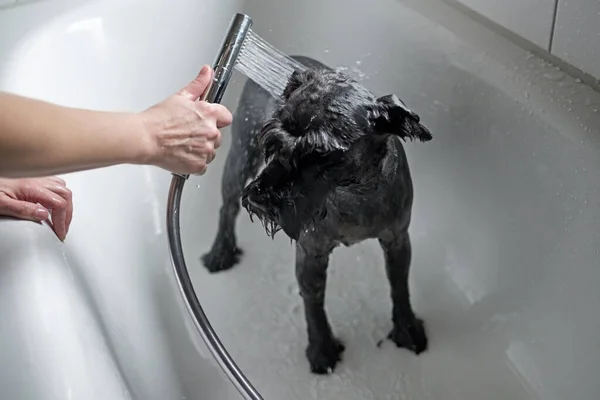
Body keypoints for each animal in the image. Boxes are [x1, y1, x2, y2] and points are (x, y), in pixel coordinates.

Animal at [202, 57, 432, 376]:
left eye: (320, 152)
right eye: (272, 141)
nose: (260, 198)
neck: (354, 192)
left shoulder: (397, 239)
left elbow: (400, 286)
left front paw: (407, 328)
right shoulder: (311, 253)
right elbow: (314, 305)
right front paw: (322, 350)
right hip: (241, 156)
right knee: (228, 207)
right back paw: (221, 252)